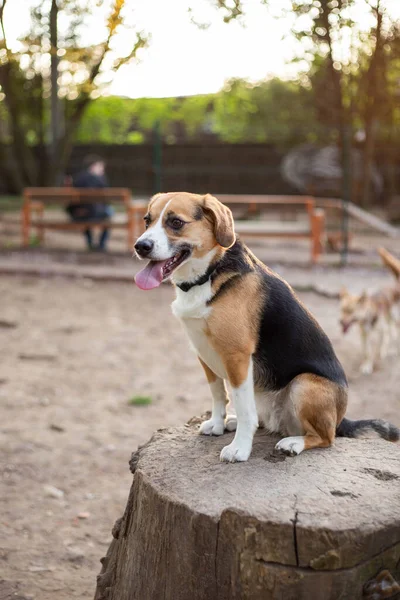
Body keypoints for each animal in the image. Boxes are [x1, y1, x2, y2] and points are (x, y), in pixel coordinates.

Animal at [134, 192, 396, 464]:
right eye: (147, 220)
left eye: (176, 222)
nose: (140, 246)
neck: (208, 274)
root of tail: (340, 418)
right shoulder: (203, 352)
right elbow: (218, 394)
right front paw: (217, 424)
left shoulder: (236, 356)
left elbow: (242, 406)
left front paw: (239, 448)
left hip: (304, 384)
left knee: (326, 437)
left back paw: (293, 443)